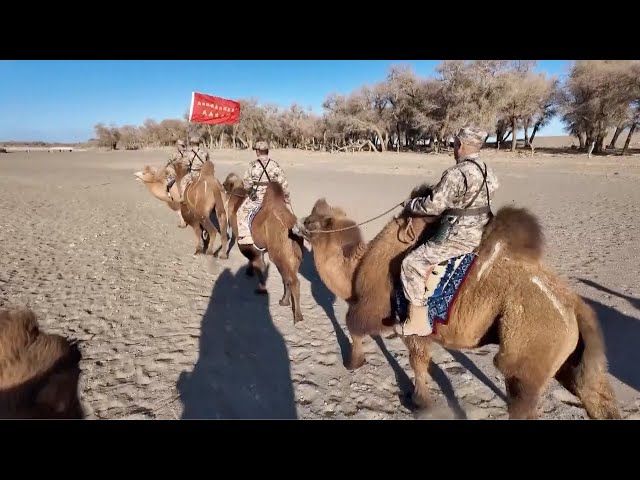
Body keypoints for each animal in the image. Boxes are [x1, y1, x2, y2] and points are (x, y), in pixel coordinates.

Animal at [222, 174, 304, 324]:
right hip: (293, 257)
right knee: (288, 278)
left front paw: (260, 289)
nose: (222, 185)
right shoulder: (259, 247)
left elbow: (257, 264)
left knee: (293, 281)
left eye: (227, 182)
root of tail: (292, 228)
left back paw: (297, 317)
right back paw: (284, 302)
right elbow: (259, 263)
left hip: (279, 254)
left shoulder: (246, 243)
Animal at [298, 186, 624, 418]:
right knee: (595, 395)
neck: (358, 268)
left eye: (312, 221)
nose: (296, 227)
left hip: (530, 349)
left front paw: (414, 399)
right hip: (573, 357)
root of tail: (574, 305)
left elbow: (377, 338)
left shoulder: (405, 321)